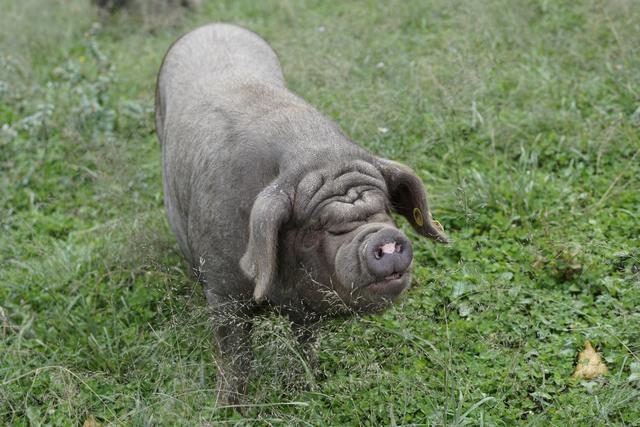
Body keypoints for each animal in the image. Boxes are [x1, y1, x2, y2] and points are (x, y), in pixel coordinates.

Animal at [154, 24, 450, 408]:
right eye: (319, 226)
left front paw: (310, 386)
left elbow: (305, 342)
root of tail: (210, 25)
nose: (383, 238)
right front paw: (230, 408)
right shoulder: (222, 292)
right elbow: (234, 356)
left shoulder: (305, 307)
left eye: (385, 207)